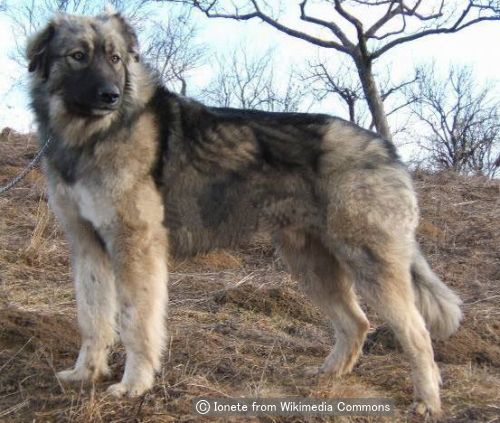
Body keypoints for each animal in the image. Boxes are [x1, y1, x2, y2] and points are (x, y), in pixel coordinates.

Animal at [26, 9, 460, 418]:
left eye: (115, 58)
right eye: (78, 56)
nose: (110, 96)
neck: (93, 136)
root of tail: (387, 149)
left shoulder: (135, 247)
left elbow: (136, 322)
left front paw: (134, 384)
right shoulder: (87, 246)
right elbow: (93, 318)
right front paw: (85, 373)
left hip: (369, 264)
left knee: (417, 333)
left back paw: (427, 400)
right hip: (310, 263)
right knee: (357, 323)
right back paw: (327, 376)